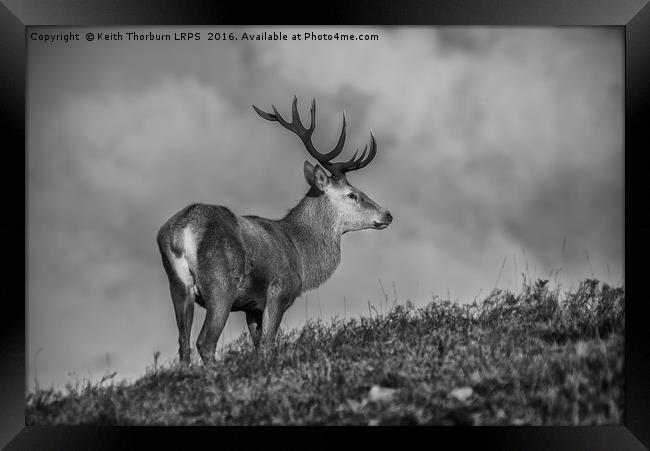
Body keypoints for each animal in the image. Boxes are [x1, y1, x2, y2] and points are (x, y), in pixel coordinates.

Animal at [156, 97, 390, 366]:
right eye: (353, 194)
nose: (387, 214)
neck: (299, 251)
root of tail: (181, 230)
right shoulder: (279, 292)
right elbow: (268, 344)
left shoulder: (252, 306)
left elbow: (258, 345)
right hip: (220, 283)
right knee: (205, 341)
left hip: (178, 285)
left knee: (183, 345)